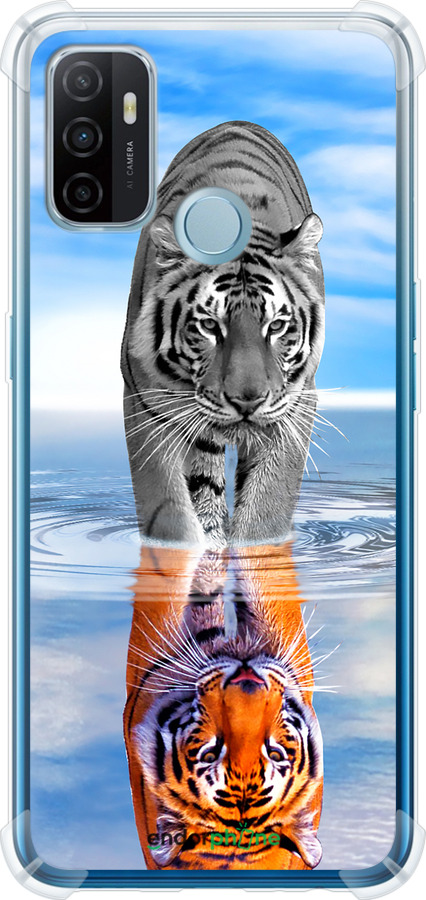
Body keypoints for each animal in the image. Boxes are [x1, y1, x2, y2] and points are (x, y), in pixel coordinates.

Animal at [121, 121, 325, 548]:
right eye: (210, 326)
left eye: (276, 326)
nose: (247, 401)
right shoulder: (145, 400)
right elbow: (169, 511)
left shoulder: (296, 404)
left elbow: (266, 509)